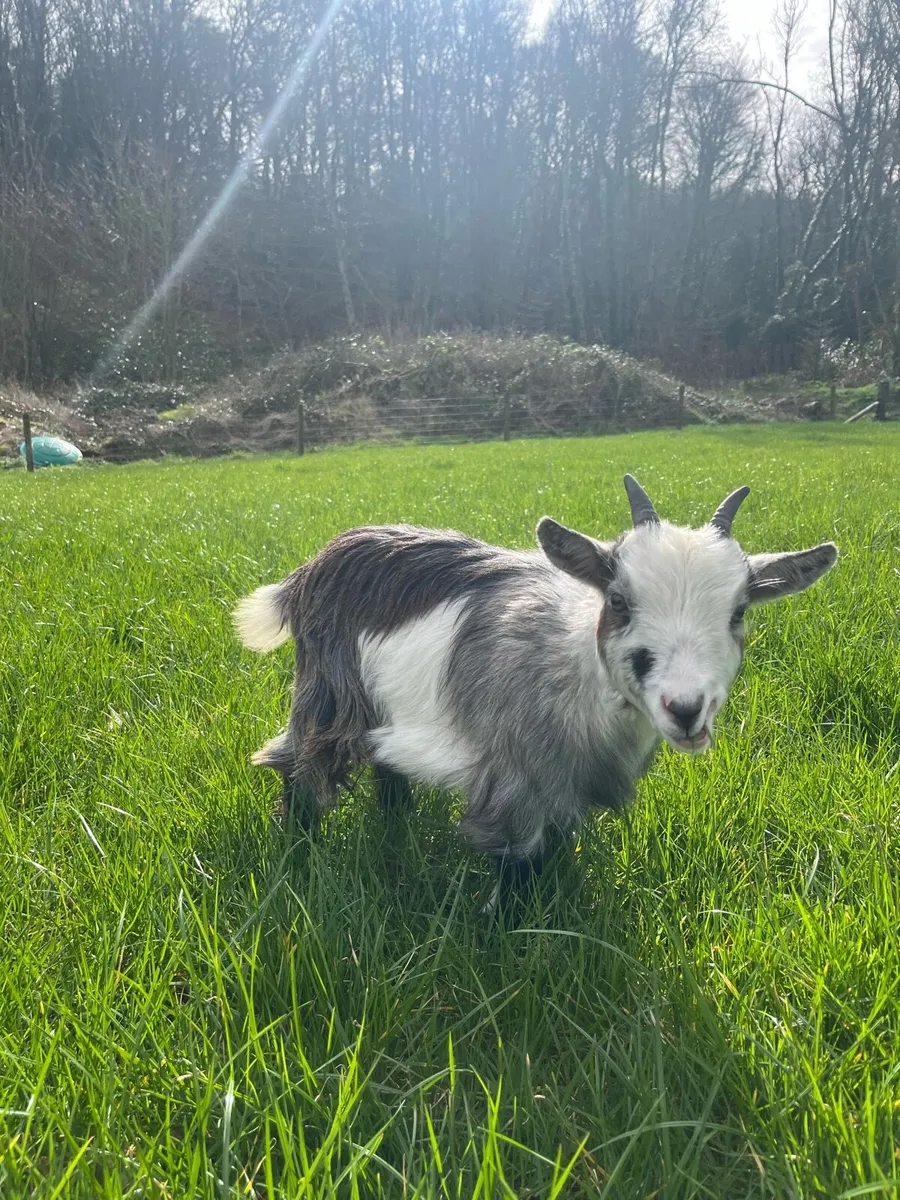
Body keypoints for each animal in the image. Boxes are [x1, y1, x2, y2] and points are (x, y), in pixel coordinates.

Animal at [234, 476, 837, 907]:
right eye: (618, 601)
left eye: (738, 613)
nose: (685, 708)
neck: (576, 670)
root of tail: (312, 568)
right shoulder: (513, 779)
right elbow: (518, 864)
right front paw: (507, 938)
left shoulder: (564, 784)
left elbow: (553, 850)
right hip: (327, 691)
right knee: (298, 760)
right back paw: (300, 844)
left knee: (387, 763)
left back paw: (393, 825)